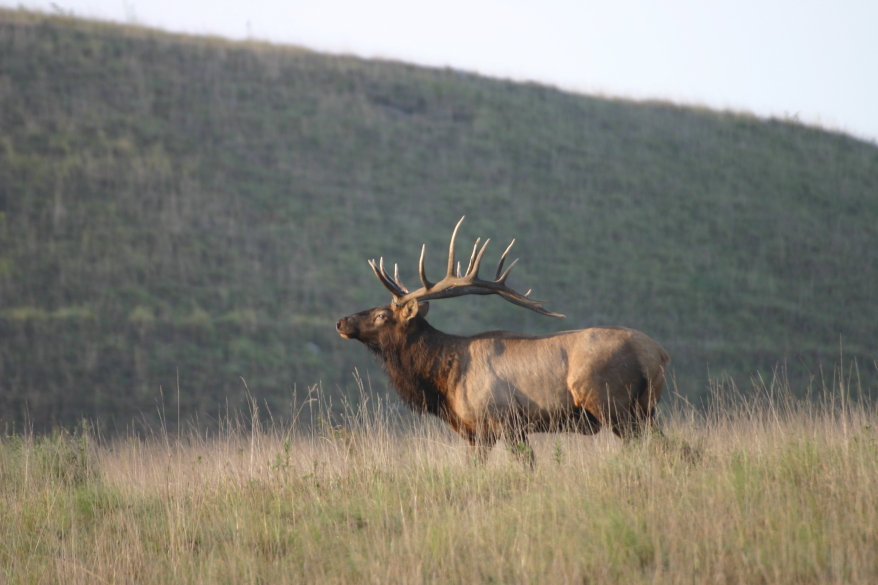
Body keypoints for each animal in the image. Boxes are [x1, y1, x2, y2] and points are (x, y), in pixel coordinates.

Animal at [336, 217, 668, 464]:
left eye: (382, 315)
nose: (341, 321)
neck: (445, 380)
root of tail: (658, 354)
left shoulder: (502, 421)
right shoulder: (478, 431)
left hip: (612, 402)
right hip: (646, 408)